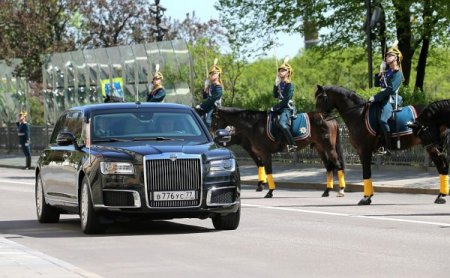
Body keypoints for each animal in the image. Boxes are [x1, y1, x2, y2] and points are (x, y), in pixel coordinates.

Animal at [209, 106, 346, 198]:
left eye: (213, 118)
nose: (213, 136)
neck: (254, 125)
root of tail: (330, 118)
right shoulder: (257, 151)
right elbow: (263, 167)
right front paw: (264, 187)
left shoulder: (264, 152)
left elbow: (268, 169)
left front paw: (269, 191)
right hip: (320, 148)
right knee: (329, 167)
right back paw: (327, 191)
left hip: (329, 147)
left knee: (338, 165)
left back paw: (341, 190)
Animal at [314, 86, 448, 205]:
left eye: (321, 98)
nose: (318, 119)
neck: (358, 114)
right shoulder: (361, 151)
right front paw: (368, 197)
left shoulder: (364, 150)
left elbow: (366, 173)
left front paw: (366, 198)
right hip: (434, 146)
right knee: (443, 167)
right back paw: (441, 196)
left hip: (431, 146)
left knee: (442, 166)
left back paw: (442, 196)